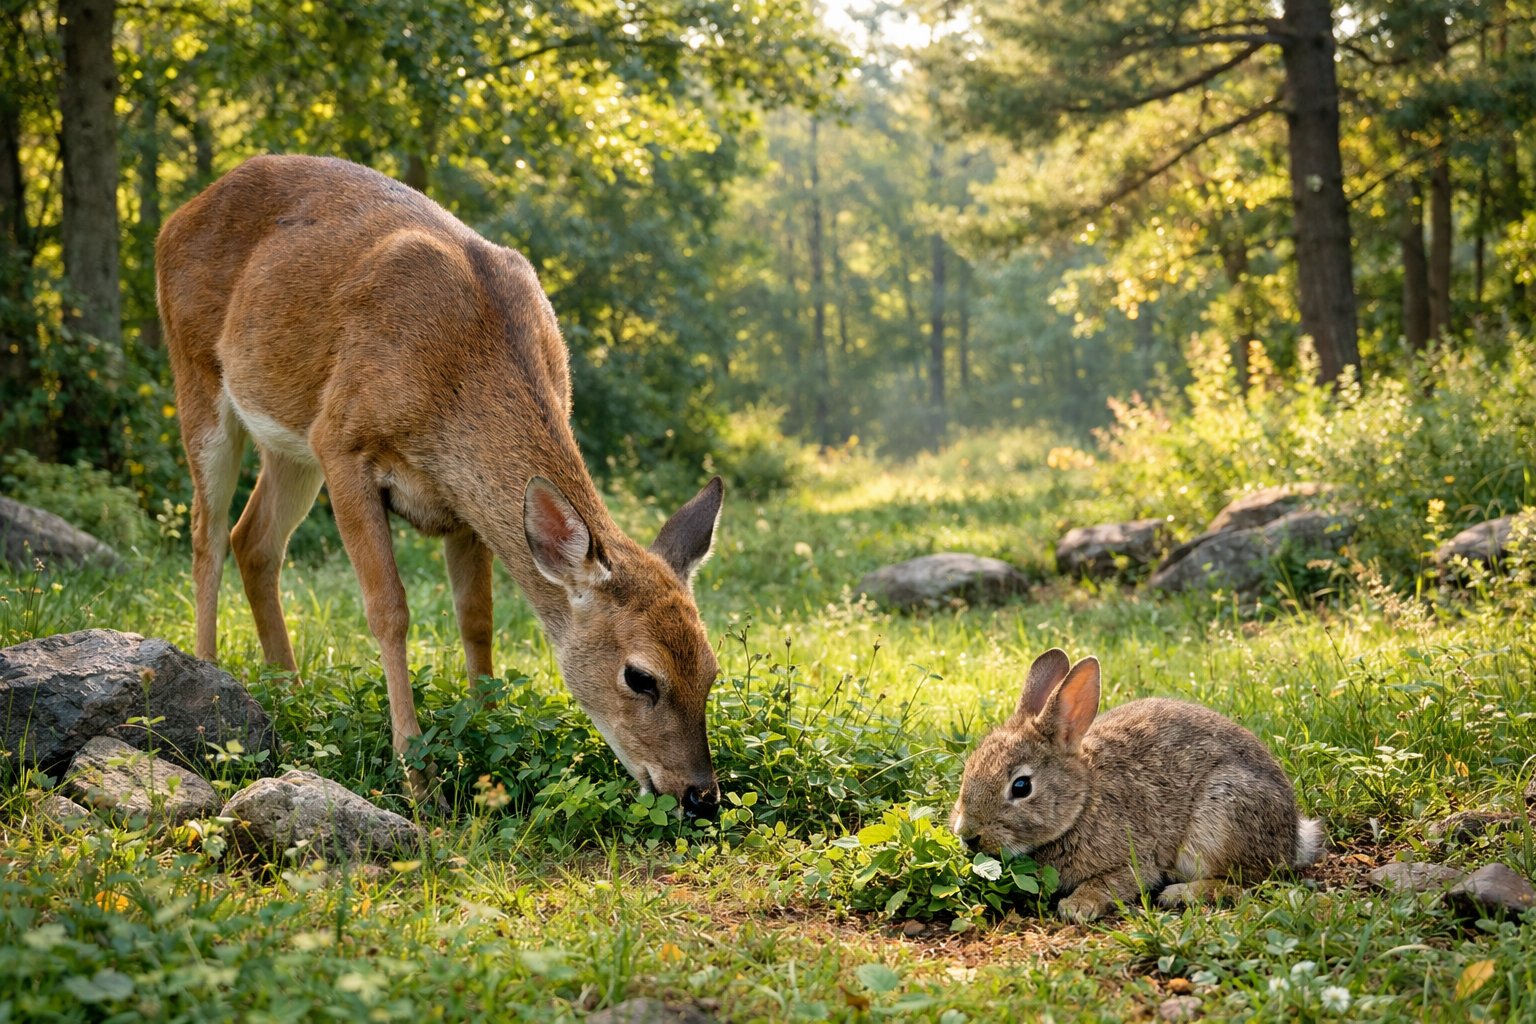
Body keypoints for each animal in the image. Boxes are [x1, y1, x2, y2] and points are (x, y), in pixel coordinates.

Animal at [156, 154, 724, 816]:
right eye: (640, 676)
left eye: (711, 671)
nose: (701, 794)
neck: (457, 378)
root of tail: (177, 217)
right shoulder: (341, 440)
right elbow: (389, 610)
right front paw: (417, 777)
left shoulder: (464, 506)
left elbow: (476, 619)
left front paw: (490, 746)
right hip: (197, 373)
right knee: (208, 532)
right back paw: (210, 676)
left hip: (287, 442)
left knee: (255, 540)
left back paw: (292, 696)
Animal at [950, 648, 1324, 922]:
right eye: (969, 768)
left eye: (1021, 787)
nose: (968, 835)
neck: (1083, 801)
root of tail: (1293, 838)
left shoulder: (1136, 860)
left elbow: (1114, 881)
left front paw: (1078, 906)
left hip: (1221, 819)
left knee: (1250, 880)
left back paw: (1180, 894)